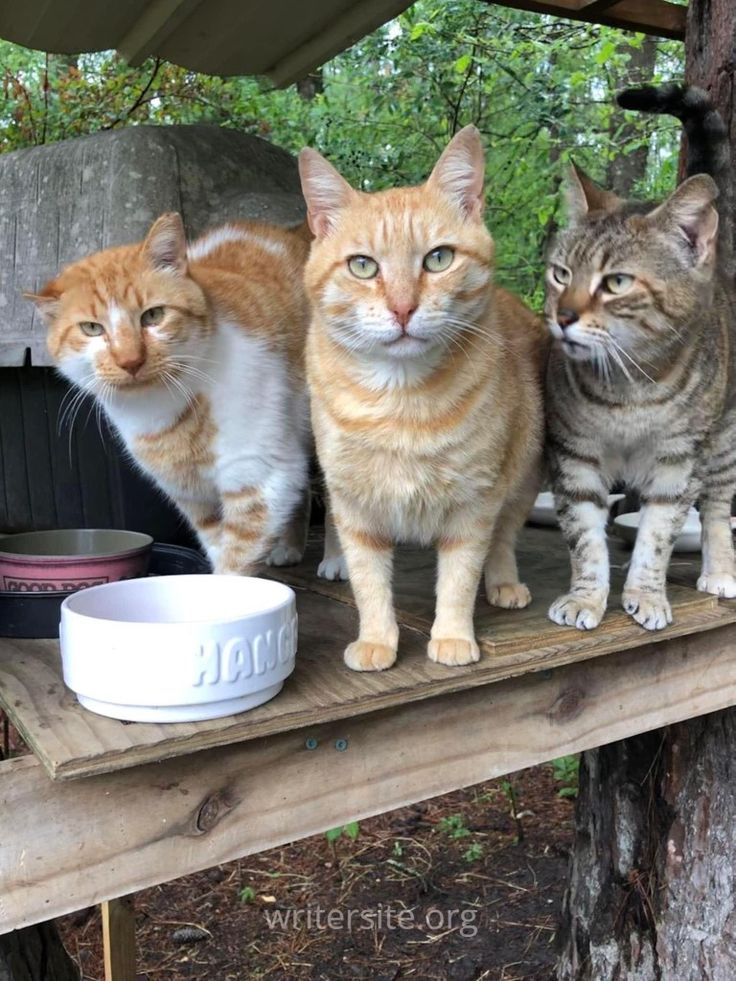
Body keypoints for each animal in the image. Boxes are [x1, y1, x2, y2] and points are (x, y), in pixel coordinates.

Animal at [298, 126, 548, 668]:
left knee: (504, 536)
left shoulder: (475, 501)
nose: (402, 308)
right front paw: (376, 640)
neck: (401, 401)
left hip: (523, 475)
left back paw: (504, 581)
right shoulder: (355, 504)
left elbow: (459, 575)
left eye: (438, 258)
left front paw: (452, 636)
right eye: (362, 266)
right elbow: (370, 581)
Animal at [544, 86, 736, 636]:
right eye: (561, 273)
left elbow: (658, 536)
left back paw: (720, 570)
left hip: (723, 445)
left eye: (616, 282)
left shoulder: (679, 463)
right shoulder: (575, 455)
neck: (629, 388)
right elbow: (585, 539)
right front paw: (586, 598)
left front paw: (646, 596)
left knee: (717, 510)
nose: (561, 316)